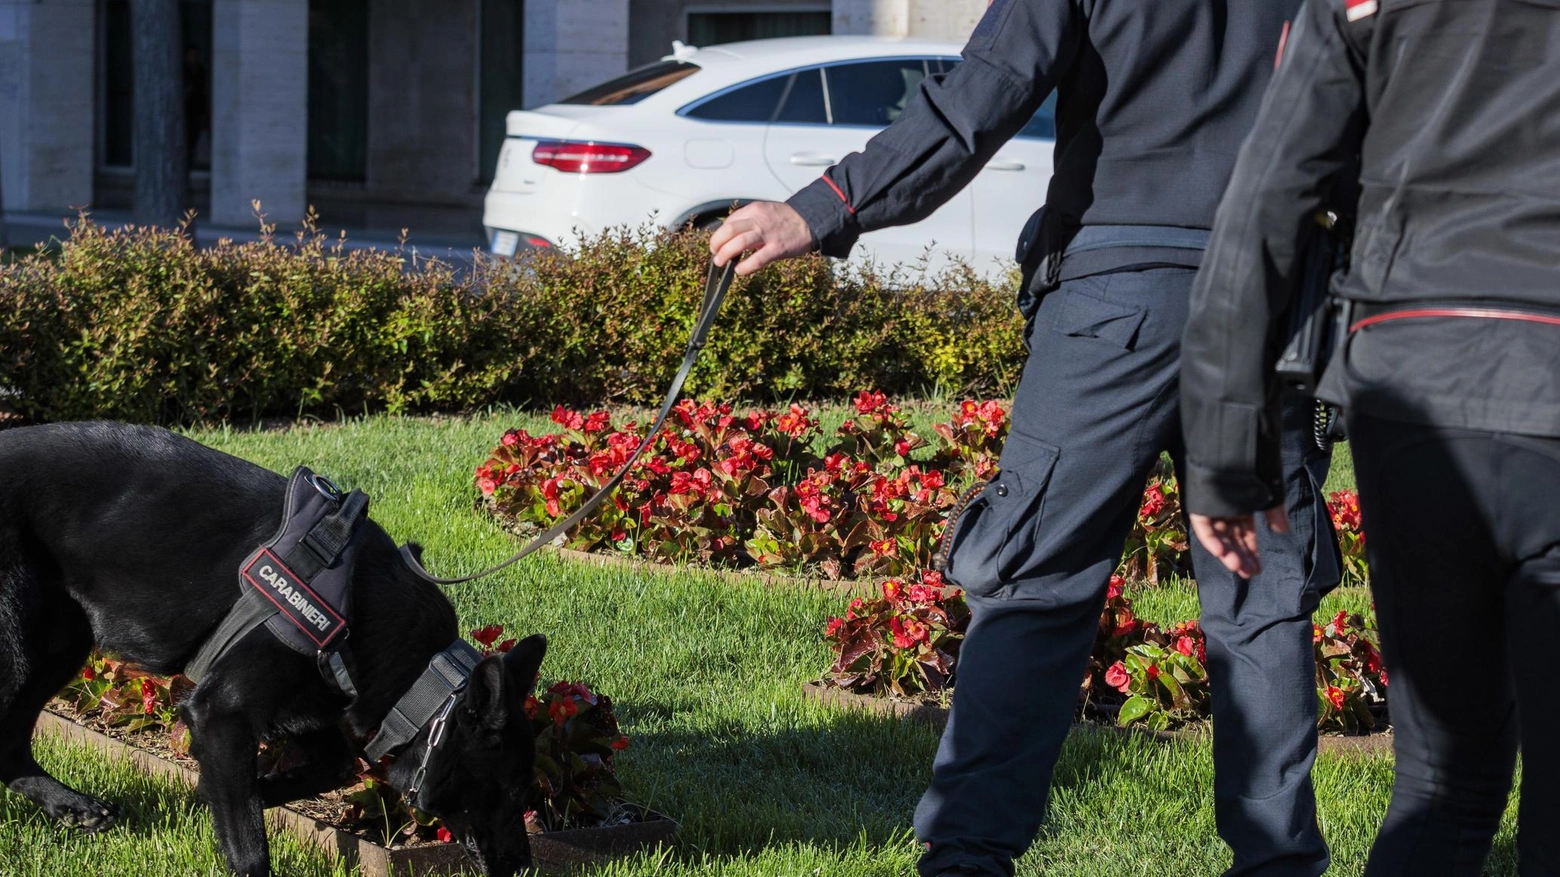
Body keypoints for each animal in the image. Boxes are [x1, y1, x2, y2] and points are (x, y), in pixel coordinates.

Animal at [0, 421, 549, 867]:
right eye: (514, 791)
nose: (524, 864)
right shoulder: (221, 714)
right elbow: (249, 847)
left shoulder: (310, 712)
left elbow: (327, 770)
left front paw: (234, 794)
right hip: (23, 649)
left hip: (59, 648)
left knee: (10, 748)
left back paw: (70, 805)